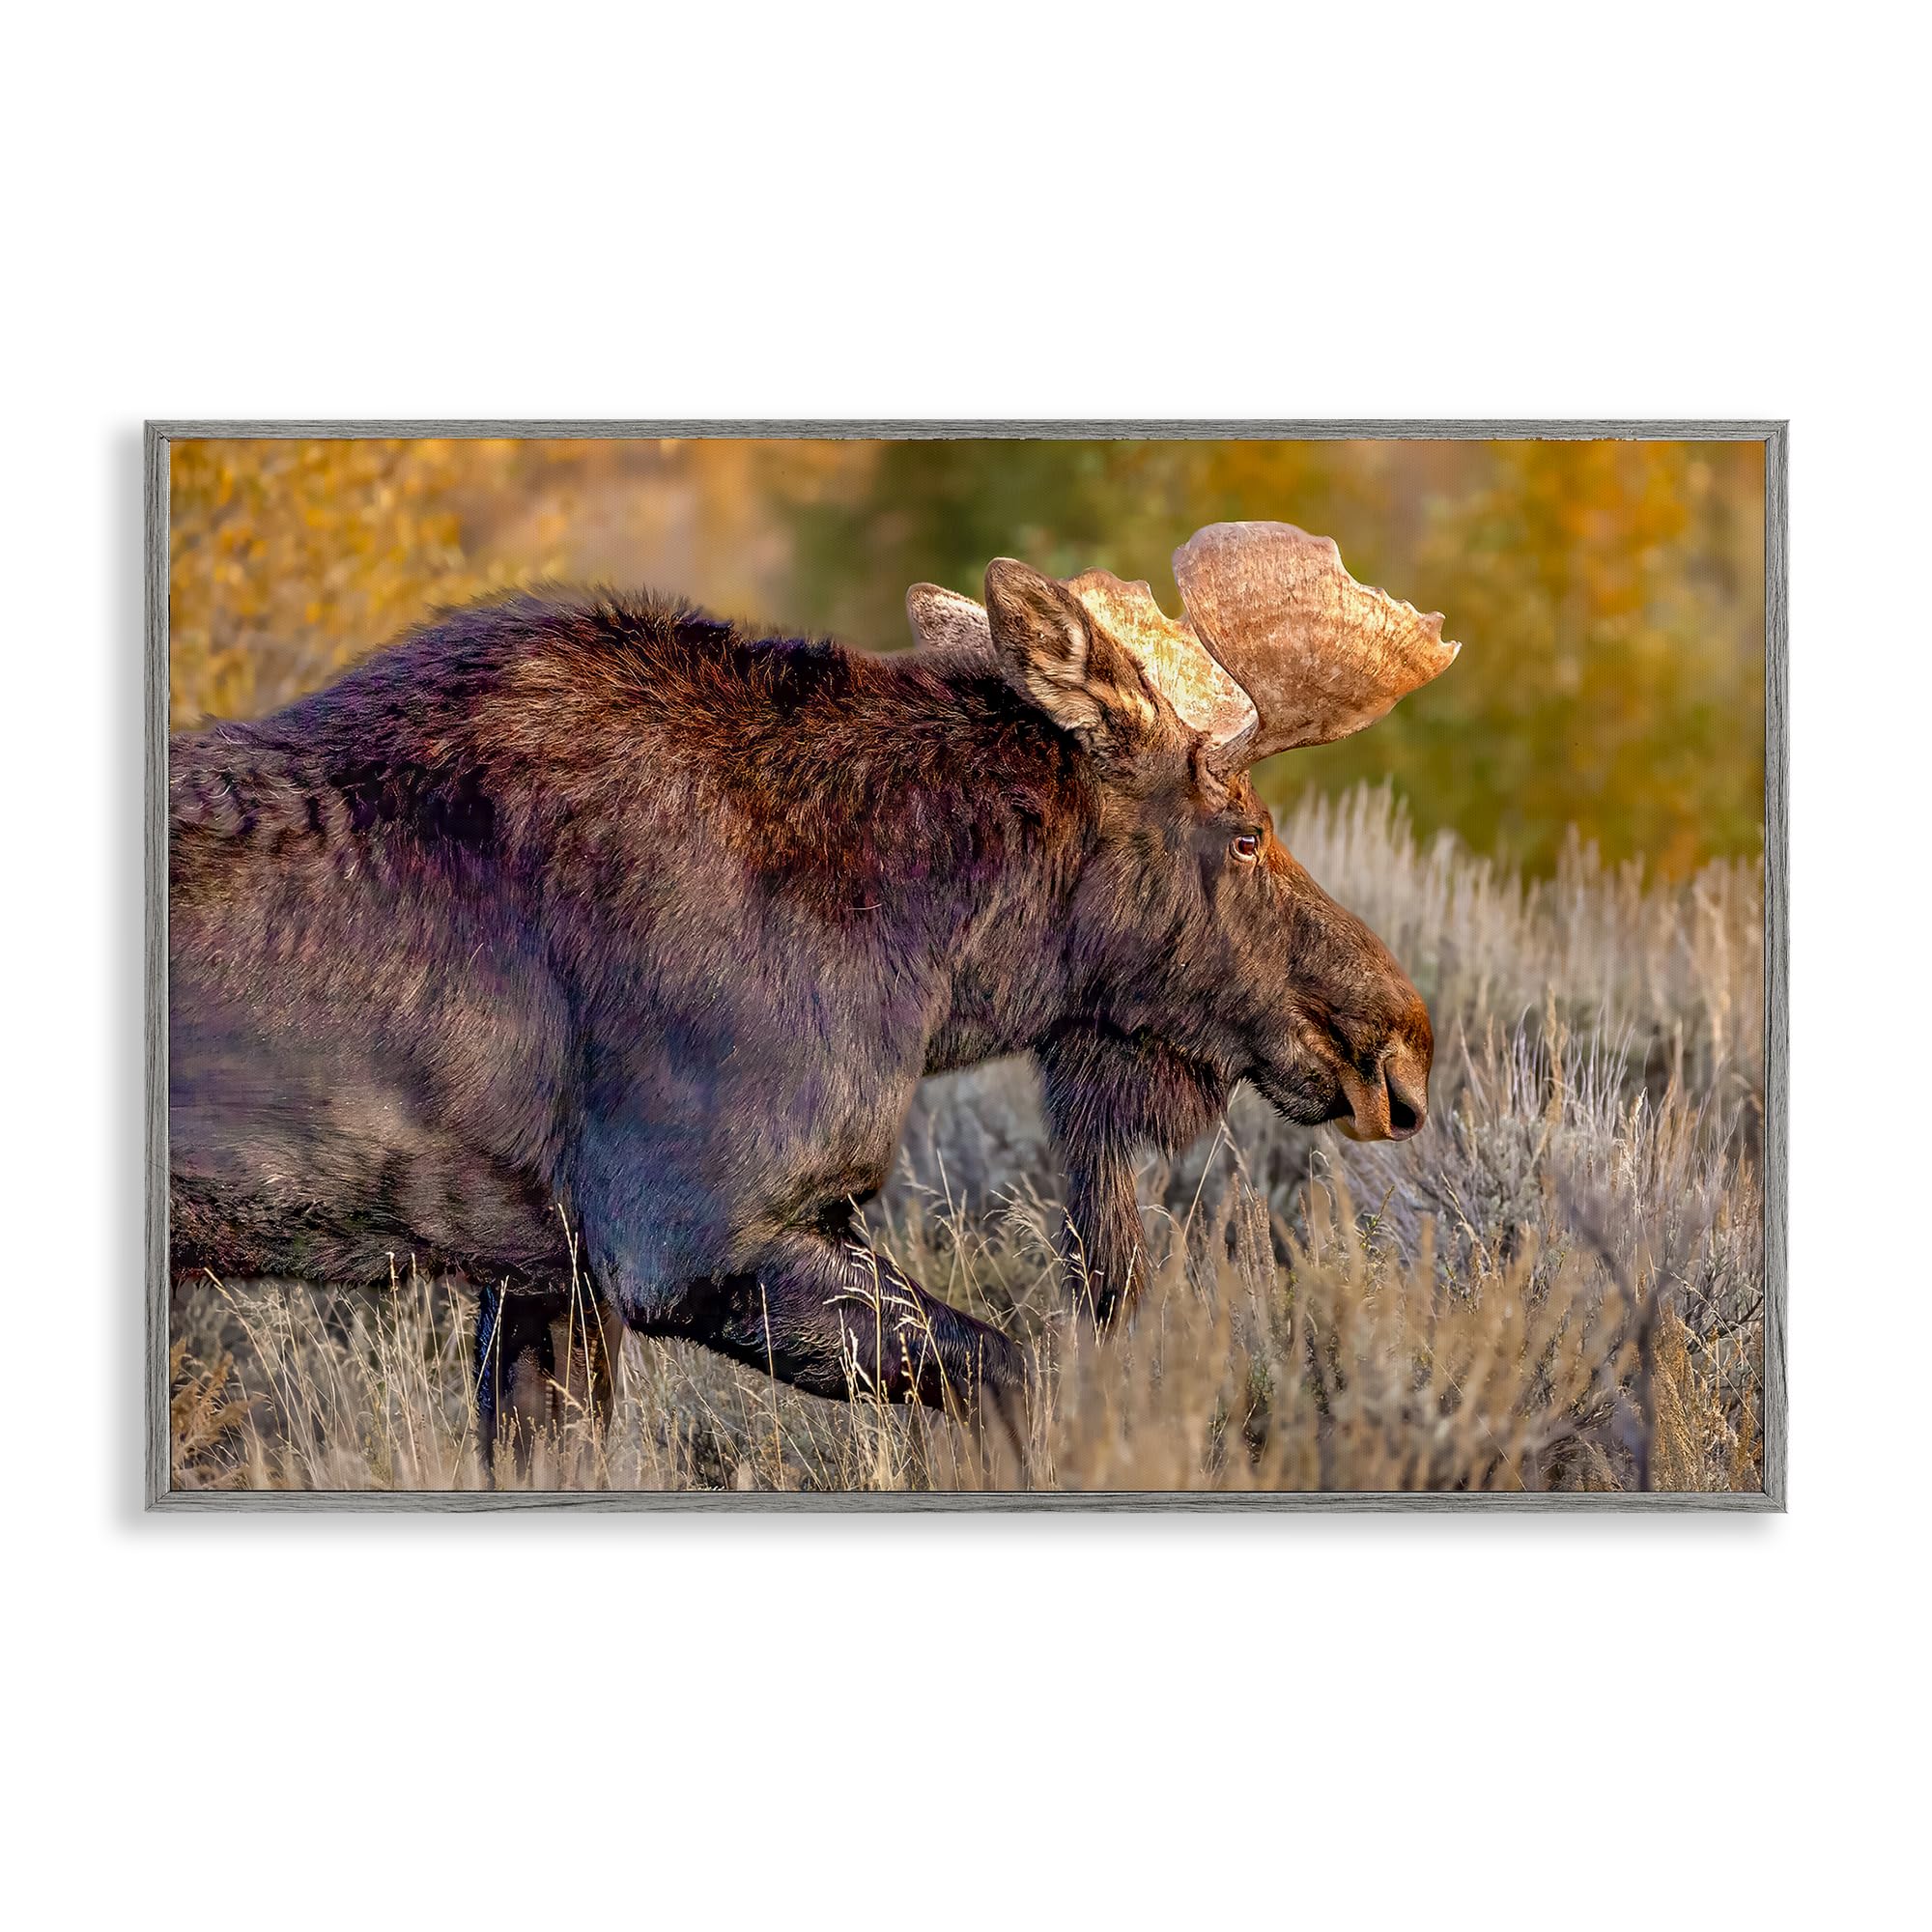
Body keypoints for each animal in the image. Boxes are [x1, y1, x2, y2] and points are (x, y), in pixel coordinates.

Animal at [167, 520, 1457, 1459]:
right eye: (1243, 831)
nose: (1397, 1040)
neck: (934, 963)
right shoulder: (696, 1238)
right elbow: (1015, 1373)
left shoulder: (544, 1274)